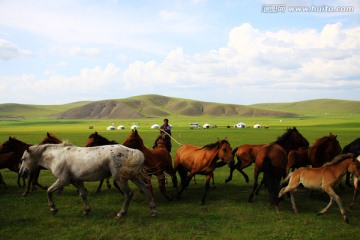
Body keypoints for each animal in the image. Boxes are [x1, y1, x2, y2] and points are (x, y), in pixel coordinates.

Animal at [18, 143, 156, 218]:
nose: (21, 173)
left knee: (128, 194)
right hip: (133, 176)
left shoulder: (63, 180)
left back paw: (121, 213)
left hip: (120, 178)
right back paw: (153, 210)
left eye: (23, 159)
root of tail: (131, 151)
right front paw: (86, 210)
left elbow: (49, 191)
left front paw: (53, 209)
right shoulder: (77, 181)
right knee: (145, 188)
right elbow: (83, 195)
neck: (58, 156)